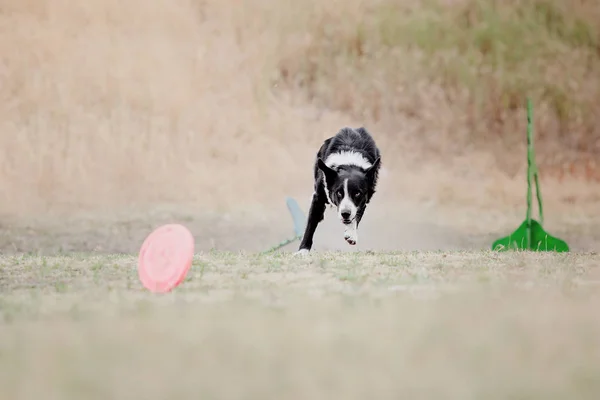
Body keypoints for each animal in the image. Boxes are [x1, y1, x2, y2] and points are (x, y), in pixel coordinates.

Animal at [294, 126, 380, 255]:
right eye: (339, 192)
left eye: (357, 193)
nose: (345, 214)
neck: (349, 164)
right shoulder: (318, 197)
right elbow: (310, 224)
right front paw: (303, 250)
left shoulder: (364, 199)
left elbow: (357, 214)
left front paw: (351, 234)